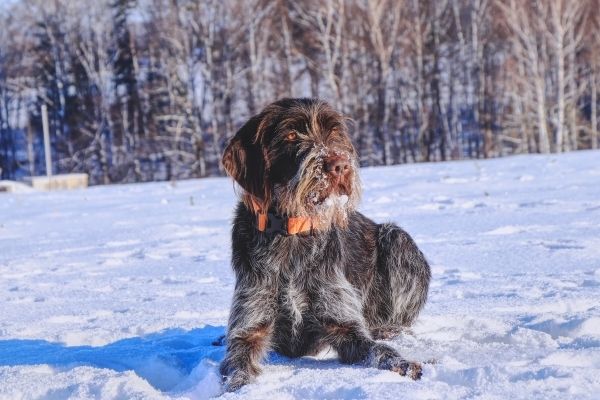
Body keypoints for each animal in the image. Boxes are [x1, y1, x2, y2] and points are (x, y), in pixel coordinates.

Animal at [220, 97, 432, 390]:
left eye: (334, 132)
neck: (292, 234)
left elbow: (379, 350)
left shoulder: (343, 324)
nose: (340, 165)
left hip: (396, 238)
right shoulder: (249, 326)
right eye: (291, 135)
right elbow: (238, 365)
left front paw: (404, 364)